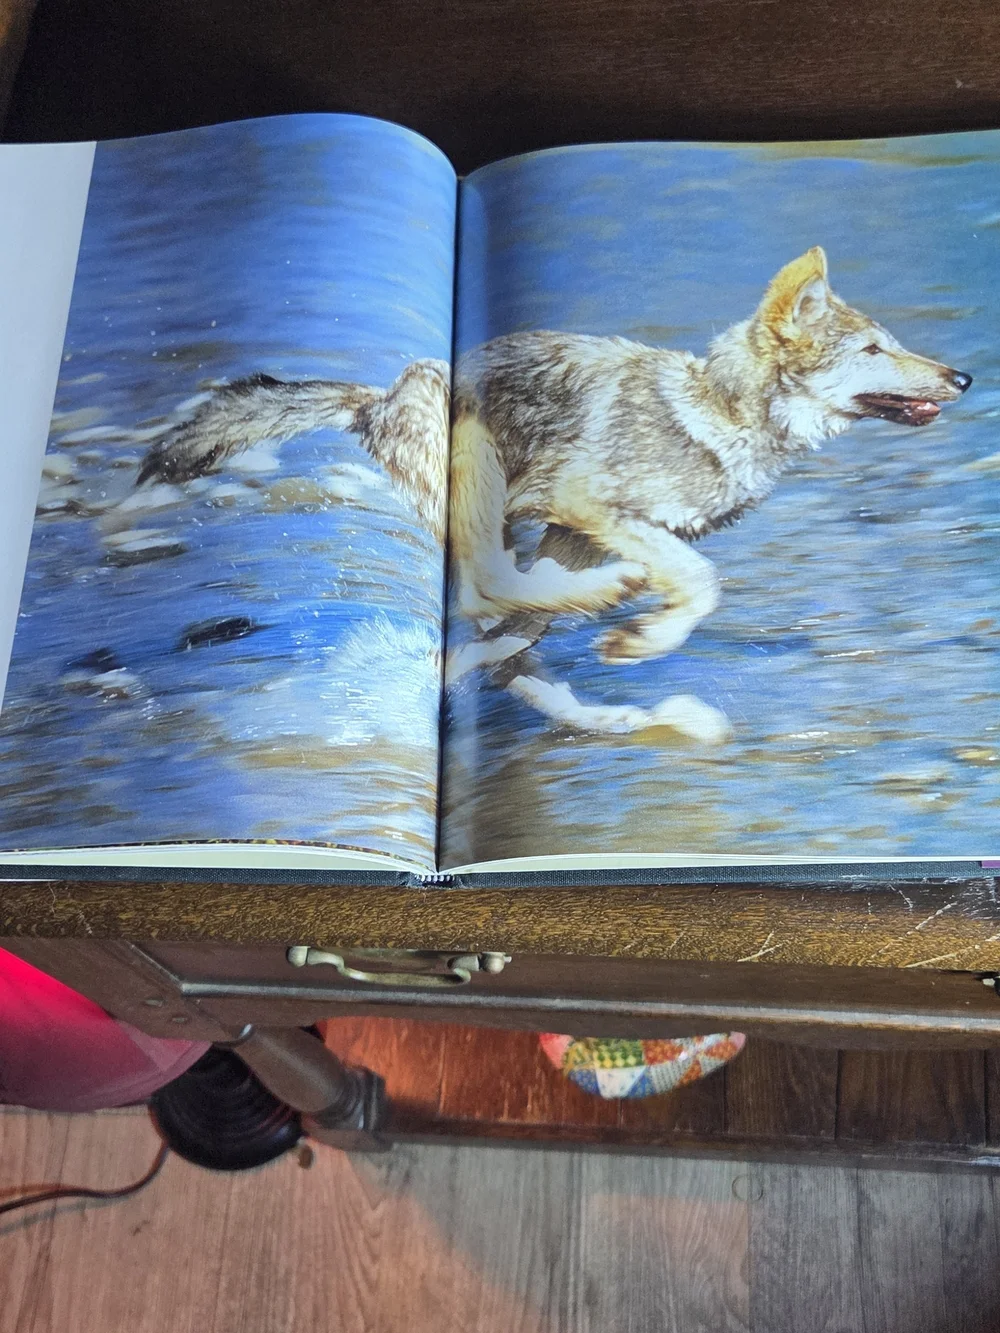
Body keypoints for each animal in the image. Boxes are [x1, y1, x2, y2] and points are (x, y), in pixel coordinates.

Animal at [447, 246, 971, 737]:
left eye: (889, 345)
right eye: (872, 350)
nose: (964, 379)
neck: (721, 417)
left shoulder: (577, 537)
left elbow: (515, 636)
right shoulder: (585, 504)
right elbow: (703, 580)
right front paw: (640, 640)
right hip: (480, 463)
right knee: (482, 588)